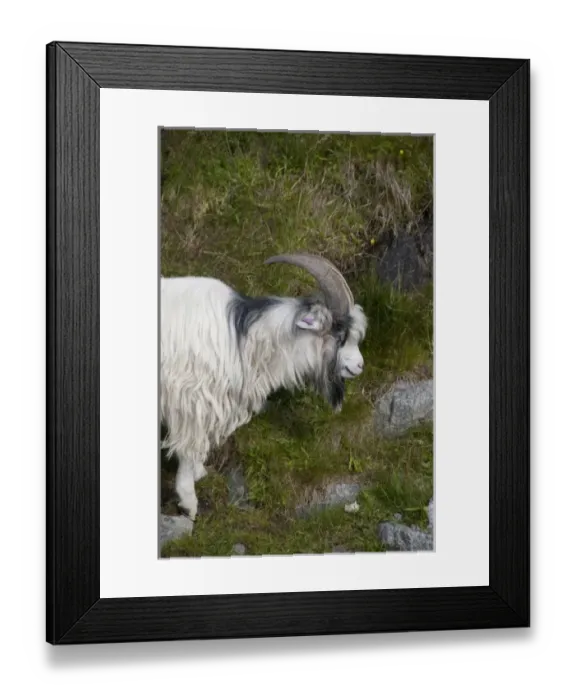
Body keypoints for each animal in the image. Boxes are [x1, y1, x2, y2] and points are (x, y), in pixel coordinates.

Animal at [160, 253, 367, 522]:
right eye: (340, 336)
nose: (359, 366)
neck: (244, 341)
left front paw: (199, 472)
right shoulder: (191, 400)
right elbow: (189, 447)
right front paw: (189, 503)